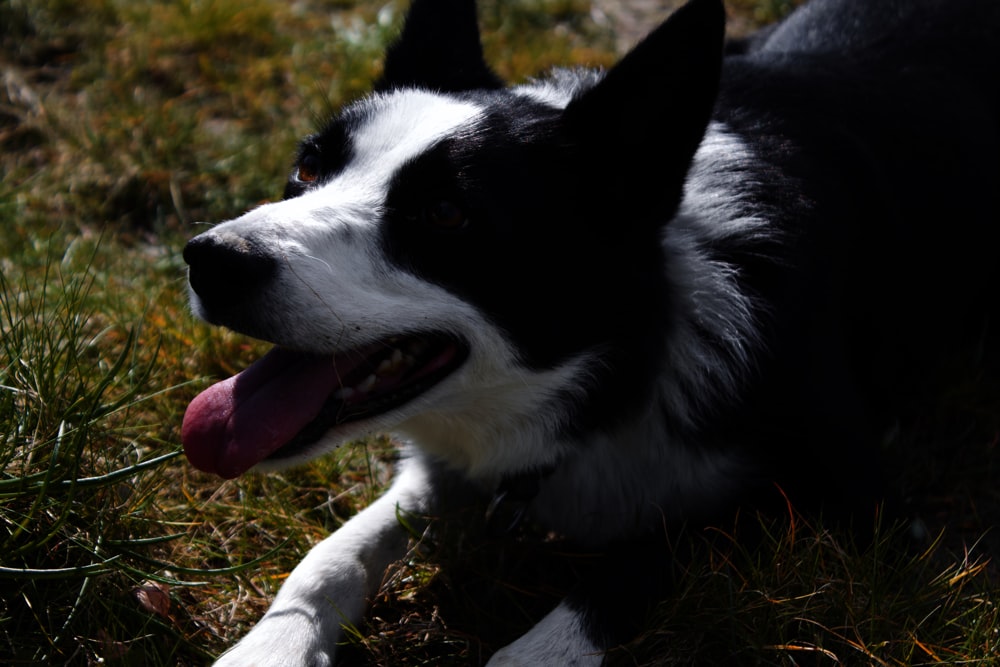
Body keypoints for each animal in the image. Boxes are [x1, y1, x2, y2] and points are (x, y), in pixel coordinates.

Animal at [182, 1, 1000, 664]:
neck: (626, 358)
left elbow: (643, 557)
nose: (210, 260)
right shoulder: (446, 472)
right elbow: (333, 553)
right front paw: (270, 647)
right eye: (307, 167)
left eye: (445, 214)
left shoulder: (862, 507)